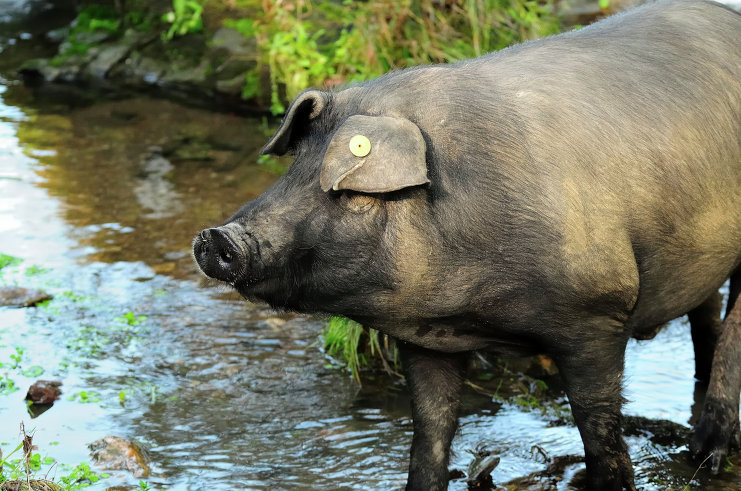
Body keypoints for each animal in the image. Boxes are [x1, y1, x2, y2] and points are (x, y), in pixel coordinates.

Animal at [195, 1, 740, 490]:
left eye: (351, 192)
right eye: (293, 170)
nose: (215, 237)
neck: (466, 306)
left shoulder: (597, 313)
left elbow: (599, 428)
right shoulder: (425, 341)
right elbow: (430, 429)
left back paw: (705, 455)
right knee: (705, 314)